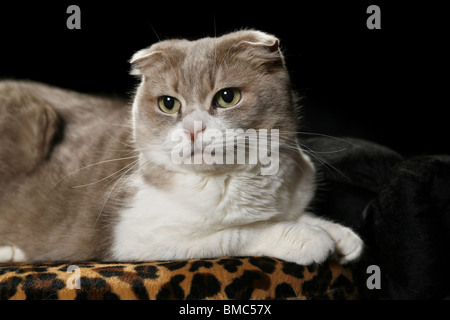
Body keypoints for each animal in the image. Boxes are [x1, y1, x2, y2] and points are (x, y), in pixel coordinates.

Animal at [0, 30, 362, 264]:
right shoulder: (136, 234)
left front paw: (336, 233)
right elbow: (238, 232)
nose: (193, 128)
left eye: (227, 97)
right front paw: (308, 237)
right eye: (169, 104)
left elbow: (295, 213)